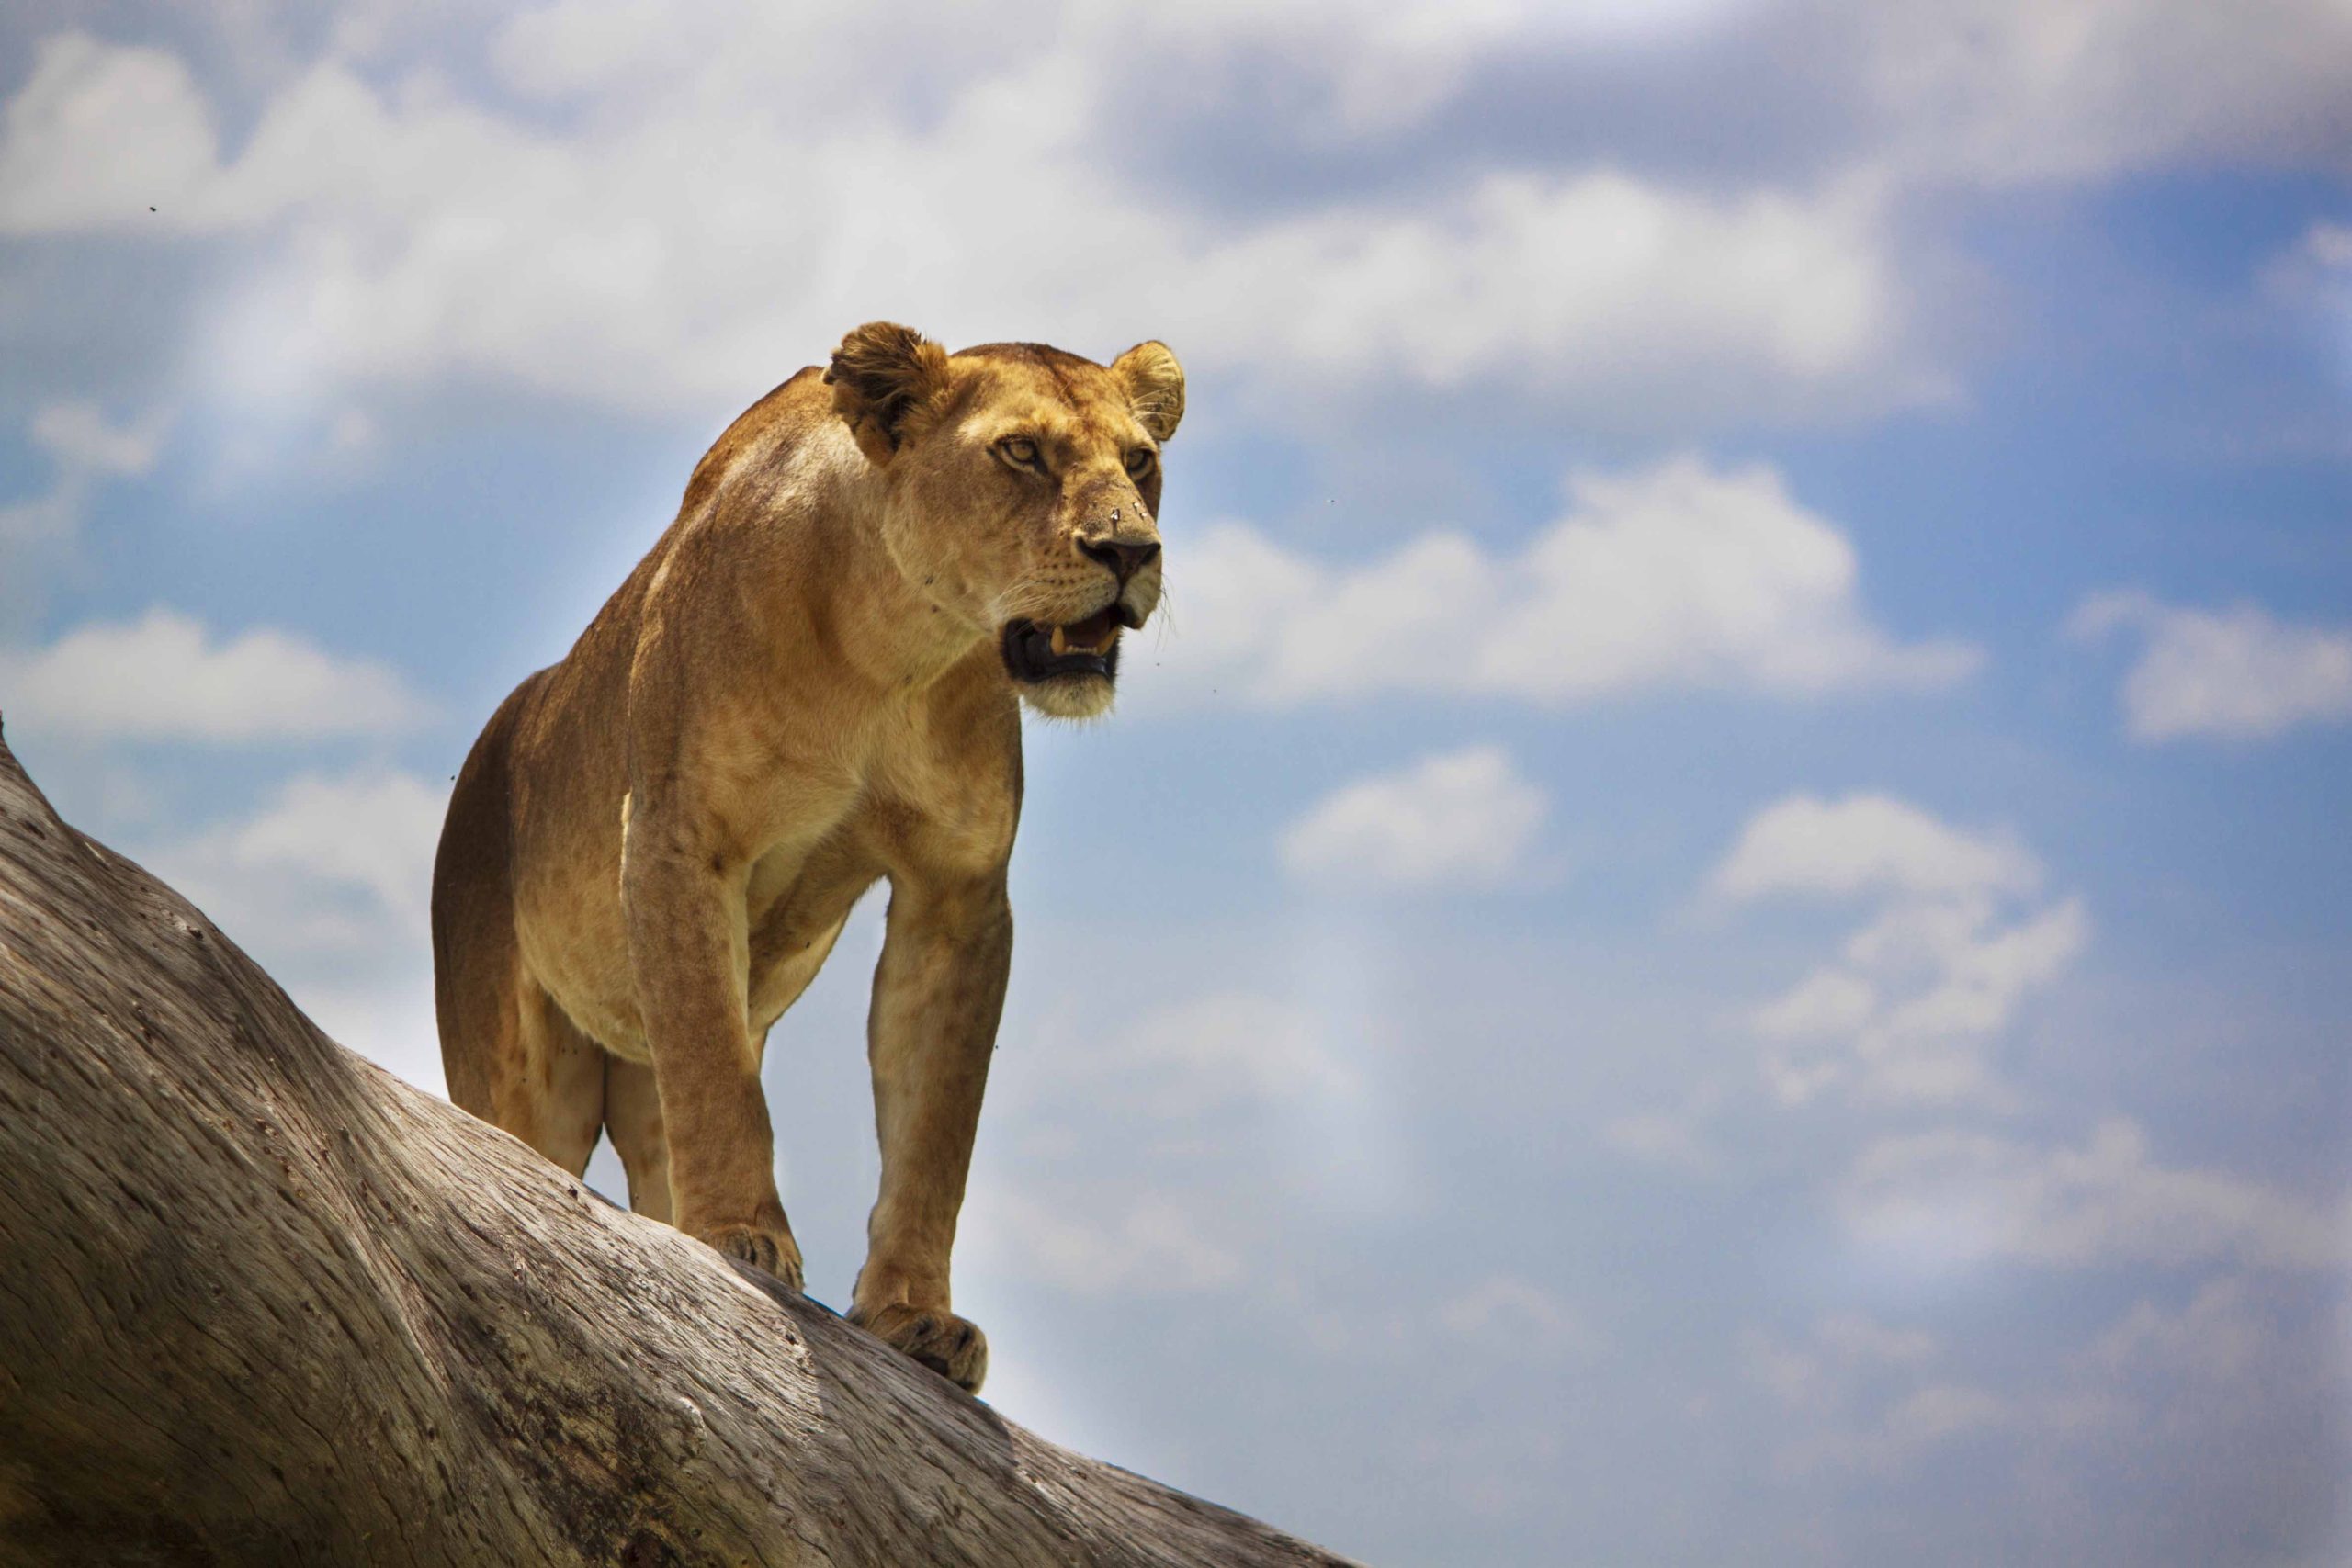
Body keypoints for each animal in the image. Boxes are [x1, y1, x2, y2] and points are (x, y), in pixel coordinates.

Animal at [431, 323, 1182, 1392]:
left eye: (1139, 460)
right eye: (1021, 452)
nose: (1129, 549)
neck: (896, 650)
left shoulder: (957, 896)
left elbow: (932, 1126)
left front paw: (915, 1316)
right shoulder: (678, 840)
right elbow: (721, 1080)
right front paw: (742, 1238)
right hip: (525, 1073)